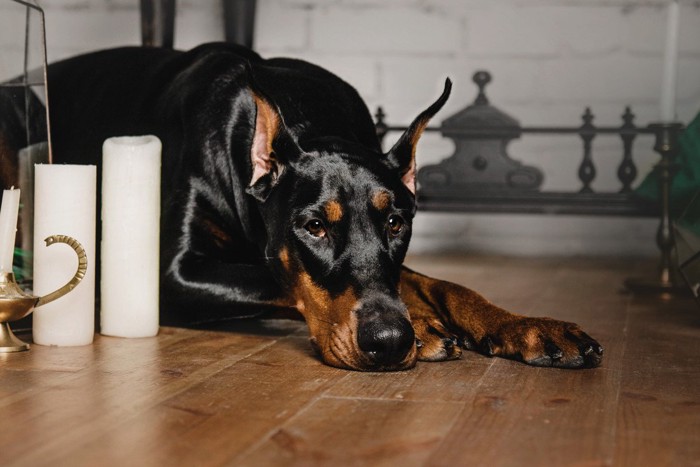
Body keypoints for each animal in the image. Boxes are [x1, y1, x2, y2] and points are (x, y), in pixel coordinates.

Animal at [1, 44, 600, 372]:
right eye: (312, 227)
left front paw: (528, 328)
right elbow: (279, 275)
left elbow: (439, 283)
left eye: (396, 222)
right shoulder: (171, 274)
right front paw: (427, 328)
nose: (390, 341)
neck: (310, 119)